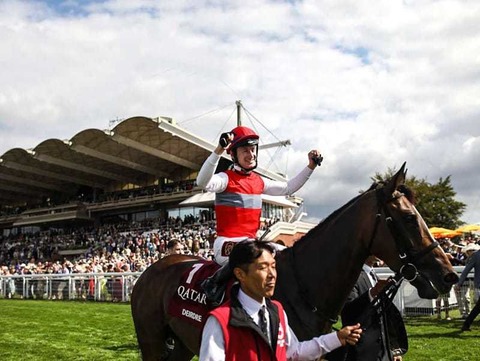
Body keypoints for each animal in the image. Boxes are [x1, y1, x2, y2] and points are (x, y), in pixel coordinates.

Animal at [130, 162, 458, 358]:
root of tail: (152, 269)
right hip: (151, 340)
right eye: (409, 218)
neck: (302, 288)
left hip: (183, 342)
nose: (449, 276)